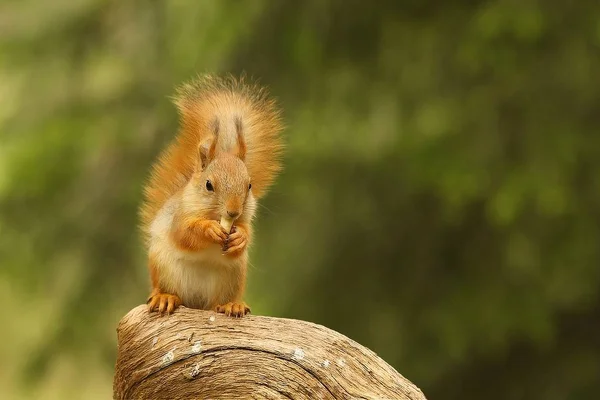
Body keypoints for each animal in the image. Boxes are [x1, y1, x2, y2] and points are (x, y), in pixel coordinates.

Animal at [138, 75, 284, 318]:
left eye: (249, 185)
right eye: (208, 185)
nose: (233, 211)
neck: (214, 215)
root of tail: (197, 303)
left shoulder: (246, 221)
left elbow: (247, 233)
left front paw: (240, 237)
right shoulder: (179, 215)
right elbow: (184, 233)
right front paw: (209, 229)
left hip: (233, 276)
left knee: (220, 302)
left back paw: (232, 305)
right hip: (163, 267)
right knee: (167, 289)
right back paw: (165, 297)